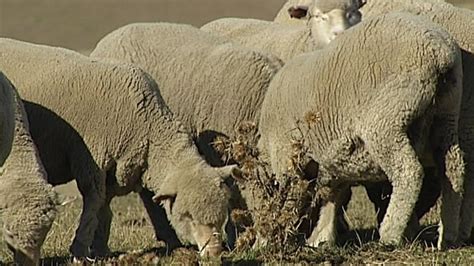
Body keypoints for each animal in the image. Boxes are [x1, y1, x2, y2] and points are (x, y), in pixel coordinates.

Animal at [258, 11, 464, 249]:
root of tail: (439, 53)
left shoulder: (286, 153)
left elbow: (290, 196)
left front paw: (273, 236)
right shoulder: (333, 158)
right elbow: (333, 192)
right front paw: (322, 236)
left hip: (387, 118)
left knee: (409, 171)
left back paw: (390, 234)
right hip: (447, 114)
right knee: (453, 168)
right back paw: (447, 234)